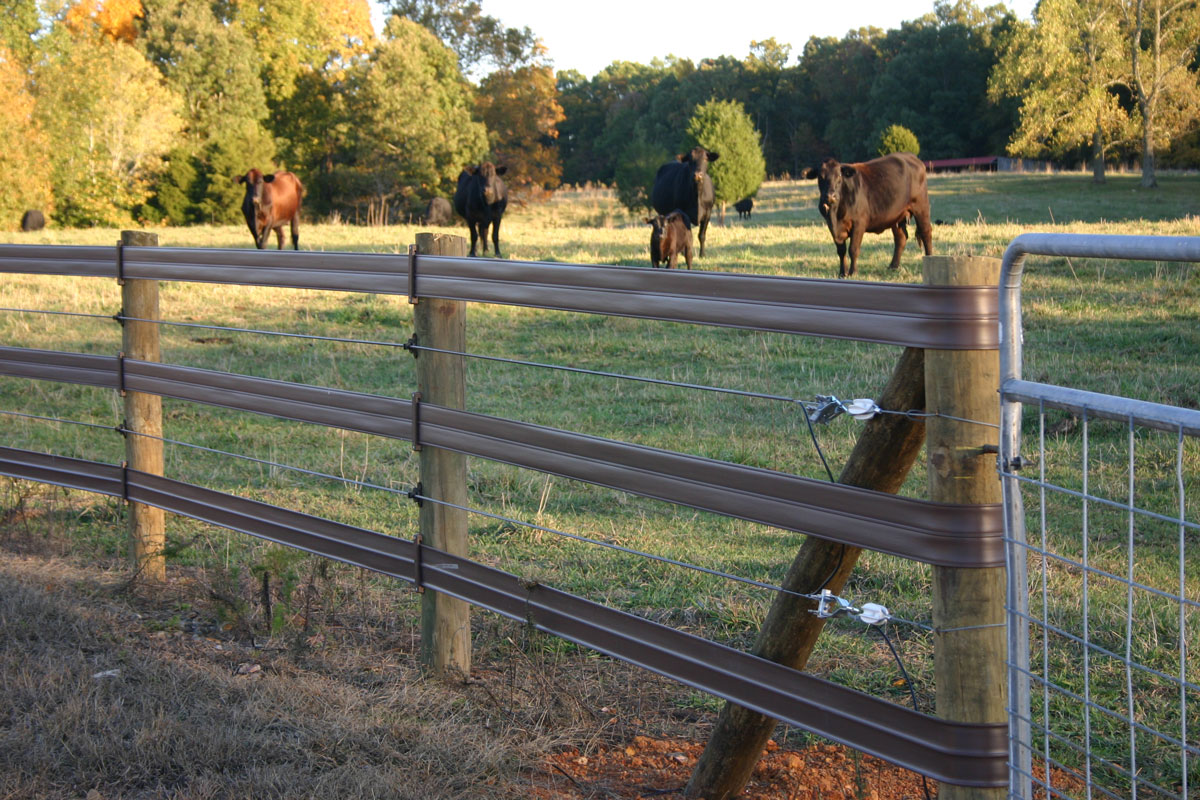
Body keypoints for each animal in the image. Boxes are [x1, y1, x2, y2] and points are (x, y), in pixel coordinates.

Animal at [801, 151, 931, 280]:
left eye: (839, 176)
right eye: (820, 177)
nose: (830, 196)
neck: (835, 214)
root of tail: (911, 156)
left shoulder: (859, 223)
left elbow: (853, 249)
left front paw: (853, 272)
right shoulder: (832, 227)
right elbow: (841, 251)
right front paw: (842, 273)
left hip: (921, 207)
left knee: (926, 232)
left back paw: (929, 260)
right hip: (897, 216)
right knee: (901, 238)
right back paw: (893, 266)